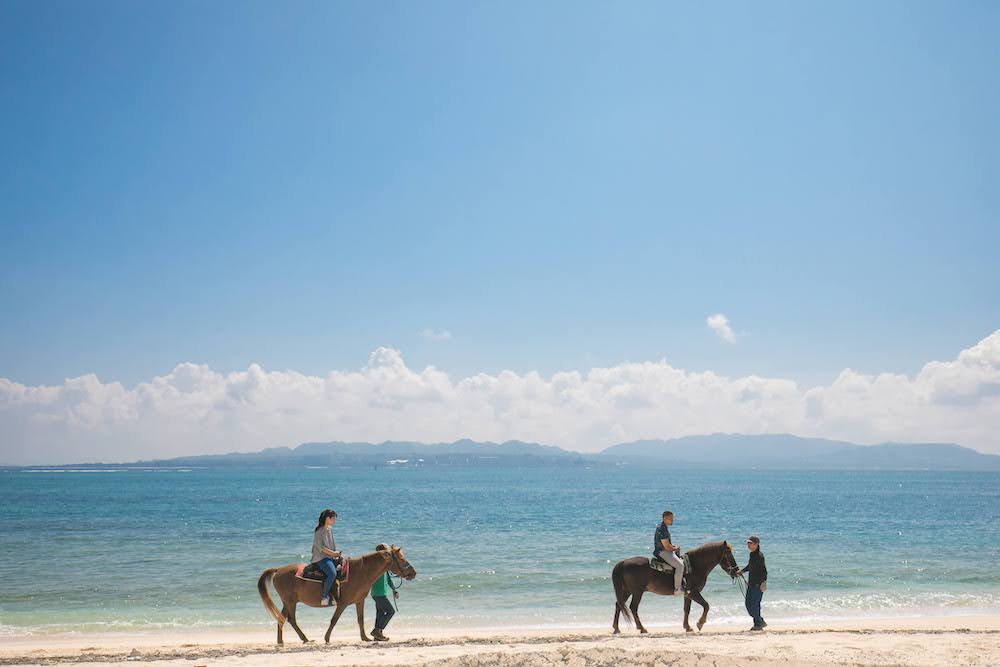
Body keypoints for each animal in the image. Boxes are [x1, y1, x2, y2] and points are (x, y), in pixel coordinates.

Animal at [258, 544, 418, 644]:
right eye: (401, 558)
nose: (413, 572)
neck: (360, 572)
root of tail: (278, 570)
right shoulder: (342, 604)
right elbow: (334, 620)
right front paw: (327, 638)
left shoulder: (359, 601)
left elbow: (360, 619)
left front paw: (365, 638)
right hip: (290, 602)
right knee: (291, 620)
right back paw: (305, 639)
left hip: (288, 602)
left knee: (281, 619)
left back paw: (281, 641)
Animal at [608, 540, 744, 636]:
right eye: (728, 554)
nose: (737, 570)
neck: (695, 566)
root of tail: (623, 563)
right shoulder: (693, 592)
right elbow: (706, 605)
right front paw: (700, 623)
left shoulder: (687, 594)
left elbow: (686, 609)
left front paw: (687, 627)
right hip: (637, 592)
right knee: (633, 607)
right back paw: (642, 628)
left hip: (627, 591)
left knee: (619, 605)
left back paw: (616, 629)